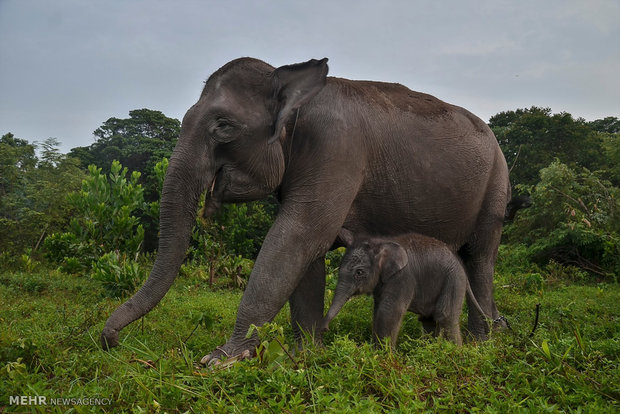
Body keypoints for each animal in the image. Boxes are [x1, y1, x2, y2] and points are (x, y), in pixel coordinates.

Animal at [322, 230, 486, 346]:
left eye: (359, 272)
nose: (325, 328)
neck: (381, 244)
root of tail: (462, 268)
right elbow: (377, 312)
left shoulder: (402, 278)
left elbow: (389, 311)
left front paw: (383, 358)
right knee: (428, 319)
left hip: (454, 280)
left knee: (446, 316)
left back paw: (454, 353)